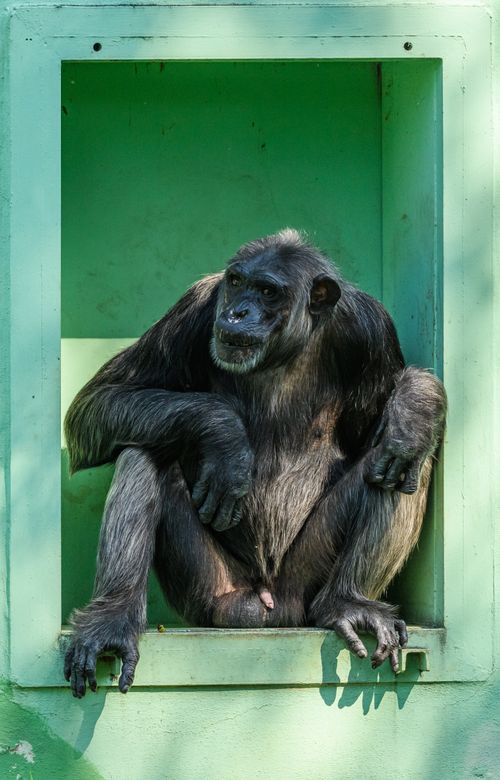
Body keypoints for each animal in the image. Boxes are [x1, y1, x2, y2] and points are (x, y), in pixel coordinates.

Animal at [63, 229, 446, 697]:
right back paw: (112, 620)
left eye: (268, 291)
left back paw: (351, 601)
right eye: (236, 282)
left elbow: (377, 428)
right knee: (143, 449)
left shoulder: (372, 330)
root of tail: (269, 608)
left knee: (403, 462)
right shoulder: (194, 308)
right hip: (212, 593)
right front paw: (225, 436)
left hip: (304, 580)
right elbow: (98, 402)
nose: (238, 311)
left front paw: (414, 407)